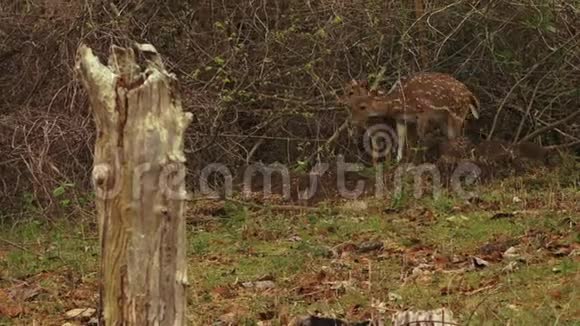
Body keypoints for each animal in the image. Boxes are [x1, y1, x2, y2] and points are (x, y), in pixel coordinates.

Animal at [346, 72, 478, 162]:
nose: (352, 121)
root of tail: (470, 95)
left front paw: (418, 160)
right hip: (445, 119)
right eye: (352, 105)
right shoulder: (400, 118)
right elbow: (400, 137)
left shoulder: (424, 112)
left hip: (457, 114)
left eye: (362, 107)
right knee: (452, 137)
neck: (399, 103)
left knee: (458, 136)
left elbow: (421, 136)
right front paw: (398, 159)